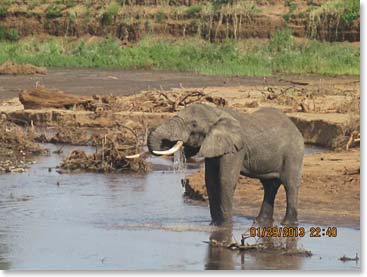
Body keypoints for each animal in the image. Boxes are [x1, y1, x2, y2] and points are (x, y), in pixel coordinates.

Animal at [147, 102, 304, 225]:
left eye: (193, 125)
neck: (216, 112)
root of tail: (296, 127)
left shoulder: (236, 149)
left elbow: (225, 180)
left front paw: (226, 225)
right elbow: (210, 181)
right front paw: (215, 225)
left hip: (293, 153)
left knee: (290, 184)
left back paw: (287, 224)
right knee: (269, 186)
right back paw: (260, 222)